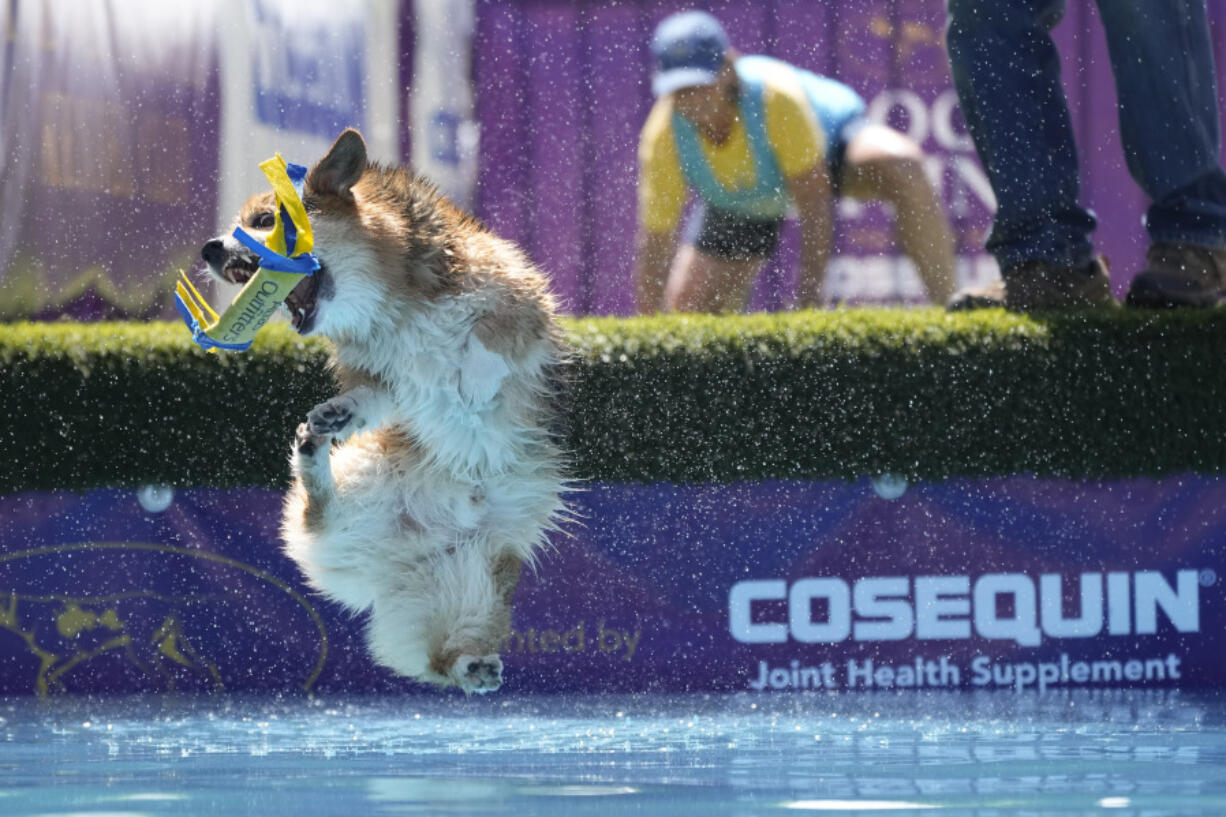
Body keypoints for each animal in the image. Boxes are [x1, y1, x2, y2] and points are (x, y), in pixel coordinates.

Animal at [198, 130, 566, 691]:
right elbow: (376, 395)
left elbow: (489, 335)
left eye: (263, 221)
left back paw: (472, 664)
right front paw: (339, 413)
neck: (388, 302)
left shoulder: (518, 295)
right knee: (318, 515)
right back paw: (313, 453)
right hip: (365, 488)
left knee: (447, 650)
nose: (211, 248)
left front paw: (476, 381)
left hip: (479, 580)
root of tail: (402, 555)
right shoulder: (384, 376)